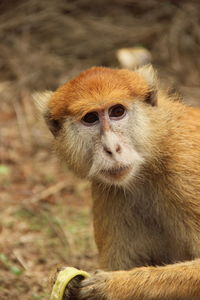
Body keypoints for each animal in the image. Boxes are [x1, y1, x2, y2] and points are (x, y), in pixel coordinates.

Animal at [34, 66, 200, 300]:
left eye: (117, 111)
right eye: (90, 118)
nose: (112, 149)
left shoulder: (185, 172)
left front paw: (111, 286)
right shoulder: (109, 192)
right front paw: (66, 284)